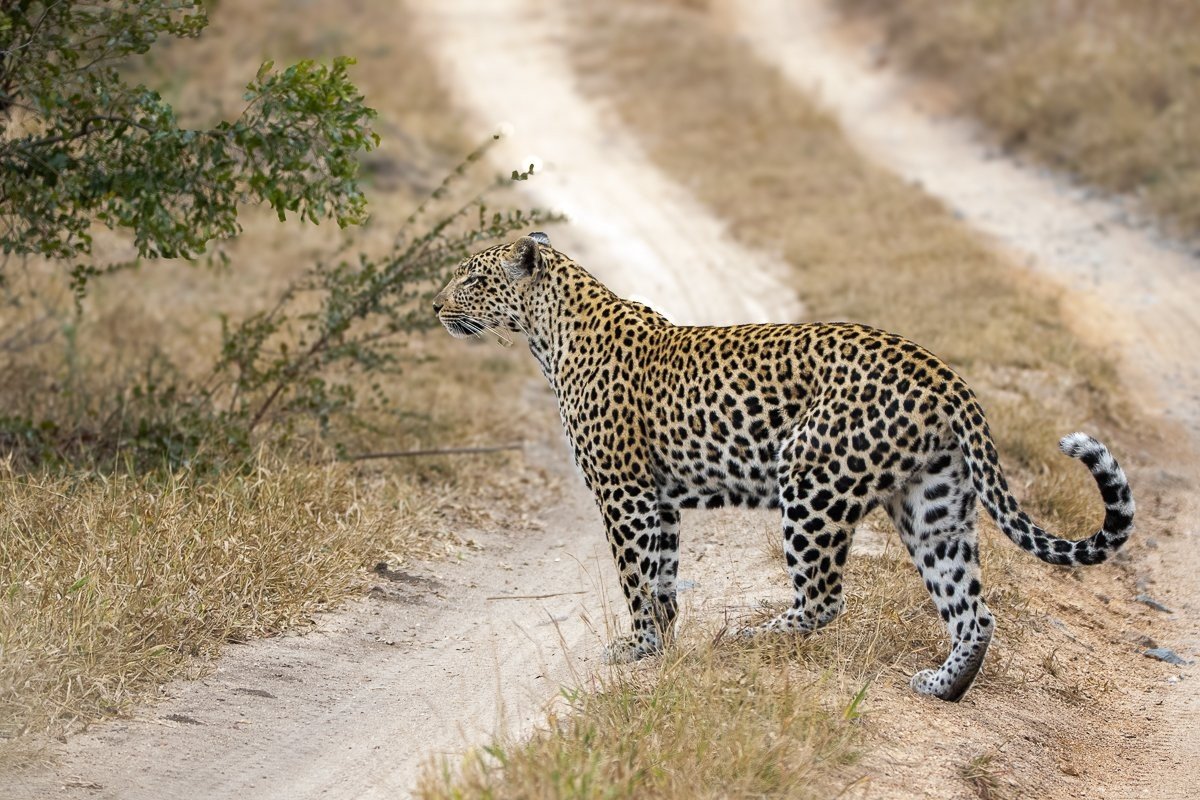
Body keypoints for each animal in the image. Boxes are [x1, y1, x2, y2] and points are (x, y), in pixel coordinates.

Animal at [433, 232, 1135, 702]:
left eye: (471, 280)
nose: (437, 307)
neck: (549, 334)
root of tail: (944, 374)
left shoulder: (623, 491)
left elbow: (634, 575)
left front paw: (636, 647)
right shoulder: (658, 498)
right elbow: (661, 577)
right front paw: (660, 642)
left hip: (811, 475)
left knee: (824, 598)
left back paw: (749, 638)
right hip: (931, 503)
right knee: (972, 610)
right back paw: (943, 685)